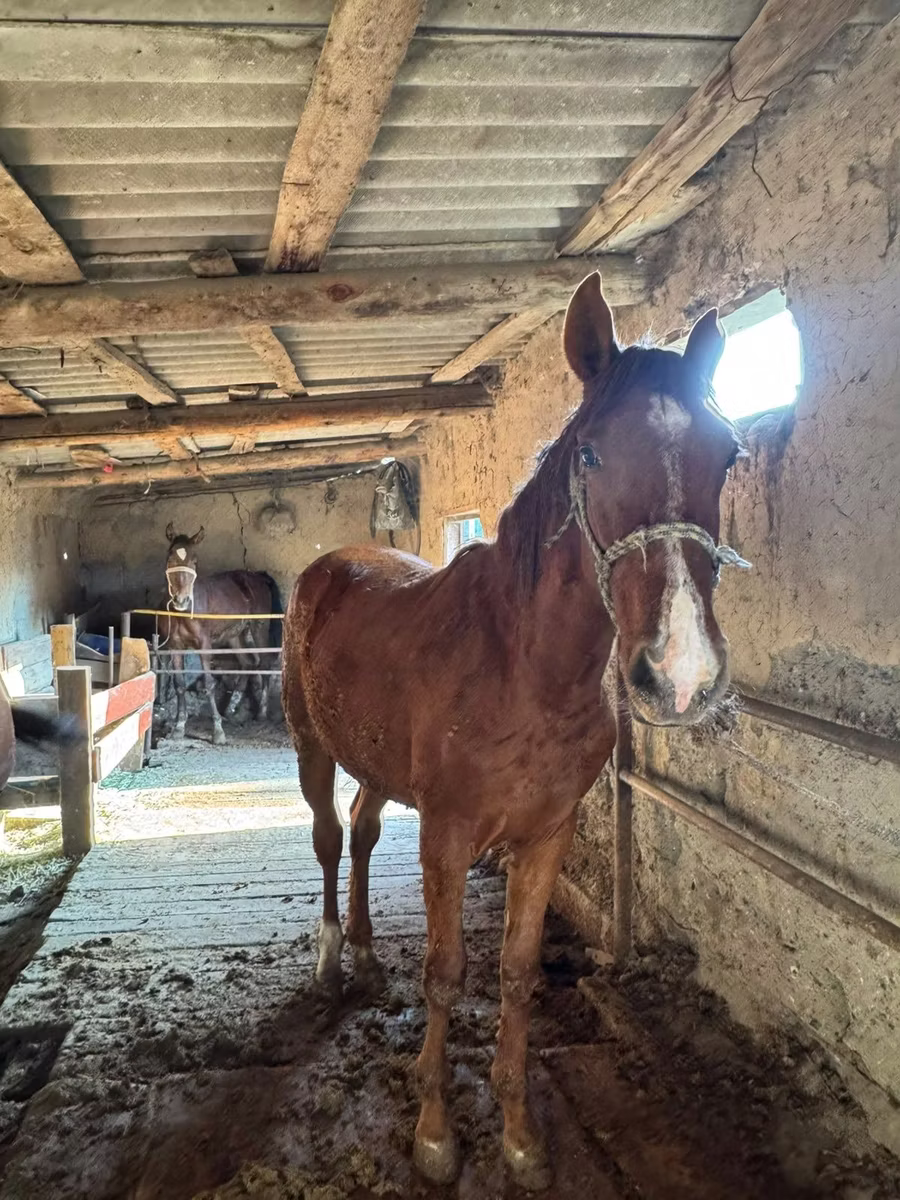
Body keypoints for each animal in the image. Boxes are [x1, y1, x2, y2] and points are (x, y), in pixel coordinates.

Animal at [161, 525, 282, 746]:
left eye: (194, 561)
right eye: (170, 557)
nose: (181, 600)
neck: (186, 612)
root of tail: (258, 576)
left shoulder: (204, 645)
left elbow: (209, 684)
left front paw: (217, 731)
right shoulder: (175, 647)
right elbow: (179, 684)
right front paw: (179, 727)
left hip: (258, 627)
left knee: (264, 663)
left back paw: (261, 713)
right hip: (235, 635)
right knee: (247, 663)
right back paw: (233, 710)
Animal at [281, 272, 749, 1189]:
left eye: (729, 452)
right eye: (592, 454)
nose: (681, 674)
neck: (523, 667)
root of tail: (331, 563)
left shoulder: (545, 835)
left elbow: (517, 971)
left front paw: (521, 1131)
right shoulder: (449, 835)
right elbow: (445, 973)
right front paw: (434, 1132)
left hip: (378, 768)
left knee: (361, 831)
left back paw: (364, 951)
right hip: (312, 749)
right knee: (326, 837)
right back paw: (328, 959)